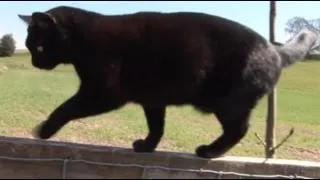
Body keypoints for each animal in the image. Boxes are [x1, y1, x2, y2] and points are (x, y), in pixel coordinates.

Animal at [18, 5, 318, 158]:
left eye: (39, 47)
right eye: (30, 47)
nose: (34, 62)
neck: (83, 37)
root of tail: (274, 48)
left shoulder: (104, 92)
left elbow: (66, 107)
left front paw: (44, 130)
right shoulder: (153, 99)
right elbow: (157, 126)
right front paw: (146, 146)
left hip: (229, 102)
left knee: (239, 129)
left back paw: (209, 151)